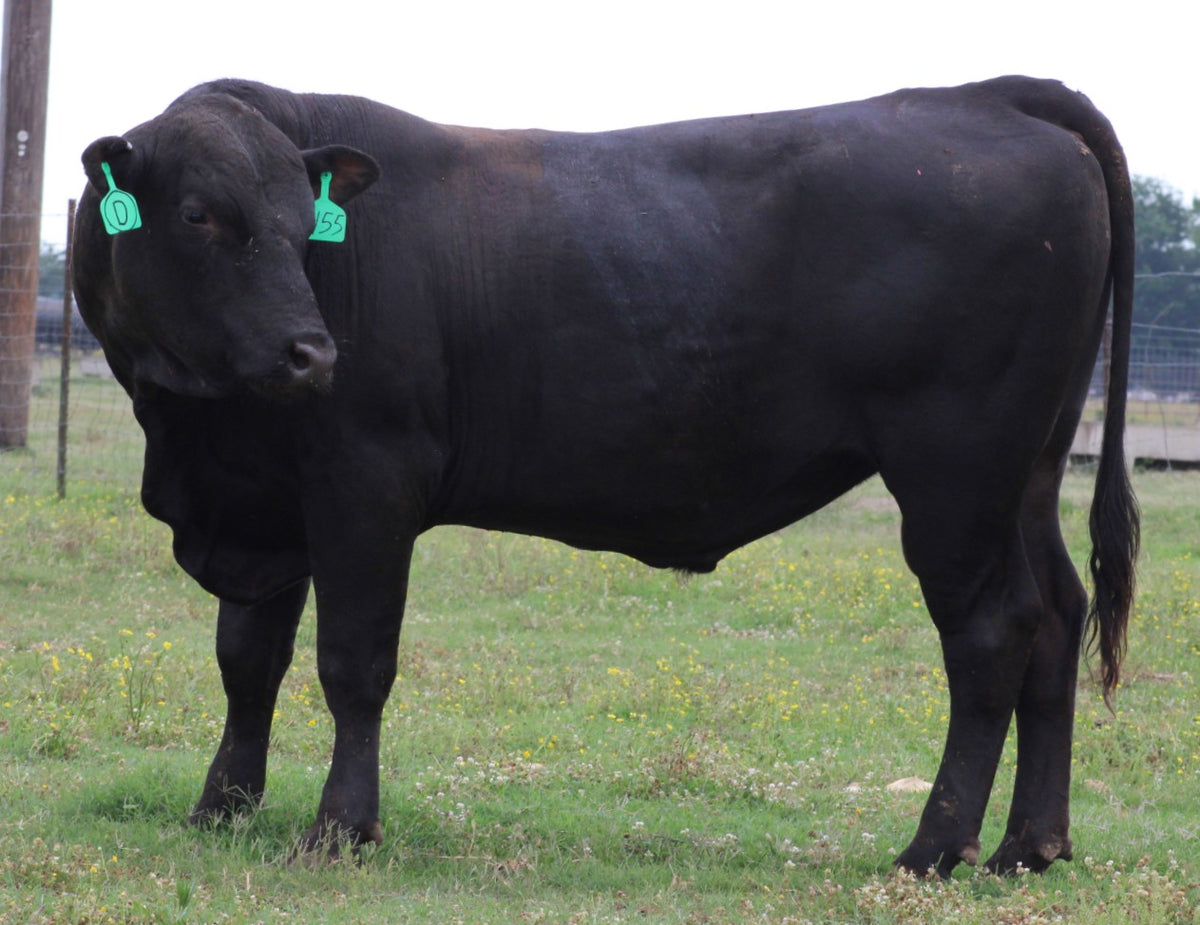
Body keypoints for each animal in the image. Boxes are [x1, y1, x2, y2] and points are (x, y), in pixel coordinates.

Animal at [72, 76, 1138, 877]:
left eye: (307, 228)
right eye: (201, 214)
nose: (310, 353)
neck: (199, 433)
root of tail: (990, 96)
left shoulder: (363, 484)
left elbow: (353, 663)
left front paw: (340, 828)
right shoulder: (267, 500)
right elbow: (247, 659)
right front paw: (221, 807)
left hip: (954, 475)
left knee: (993, 632)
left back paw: (934, 847)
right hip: (1029, 471)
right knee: (1058, 615)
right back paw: (1030, 846)